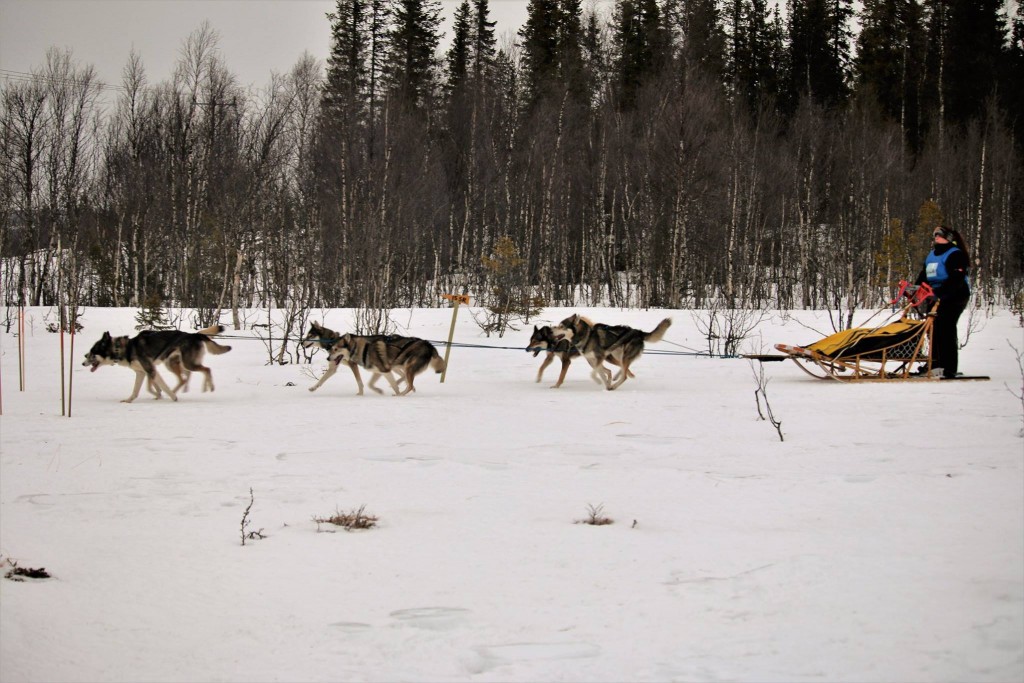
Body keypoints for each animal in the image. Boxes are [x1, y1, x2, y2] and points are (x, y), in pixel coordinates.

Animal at [81, 325, 232, 401]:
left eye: (93, 351)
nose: (83, 360)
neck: (125, 348)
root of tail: (194, 334)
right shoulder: (143, 372)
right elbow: (139, 389)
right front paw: (130, 400)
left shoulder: (150, 369)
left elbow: (160, 386)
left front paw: (172, 397)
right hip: (175, 364)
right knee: (192, 375)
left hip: (187, 364)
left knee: (207, 370)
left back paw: (209, 387)